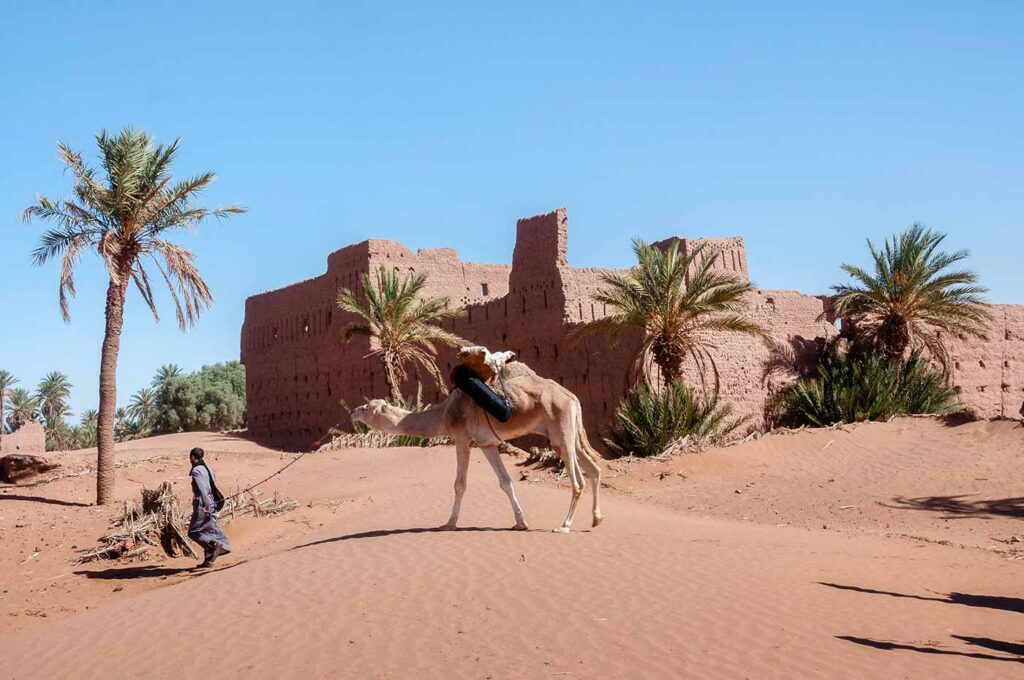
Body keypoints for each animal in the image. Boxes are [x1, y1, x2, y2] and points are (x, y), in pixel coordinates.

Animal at [351, 349, 603, 533]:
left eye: (367, 408)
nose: (353, 411)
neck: (444, 414)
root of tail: (571, 396)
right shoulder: (487, 444)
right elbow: (505, 481)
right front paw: (521, 522)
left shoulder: (462, 438)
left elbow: (459, 484)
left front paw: (449, 524)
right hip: (569, 431)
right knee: (594, 469)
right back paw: (596, 519)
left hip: (559, 427)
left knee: (578, 480)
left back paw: (564, 526)